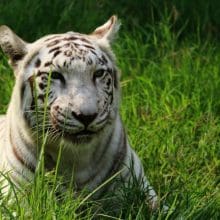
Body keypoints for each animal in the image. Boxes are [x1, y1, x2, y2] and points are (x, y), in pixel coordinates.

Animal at [0, 15, 158, 210]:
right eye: (55, 76)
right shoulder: (15, 199)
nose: (86, 116)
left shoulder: (141, 187)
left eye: (98, 73)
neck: (76, 160)